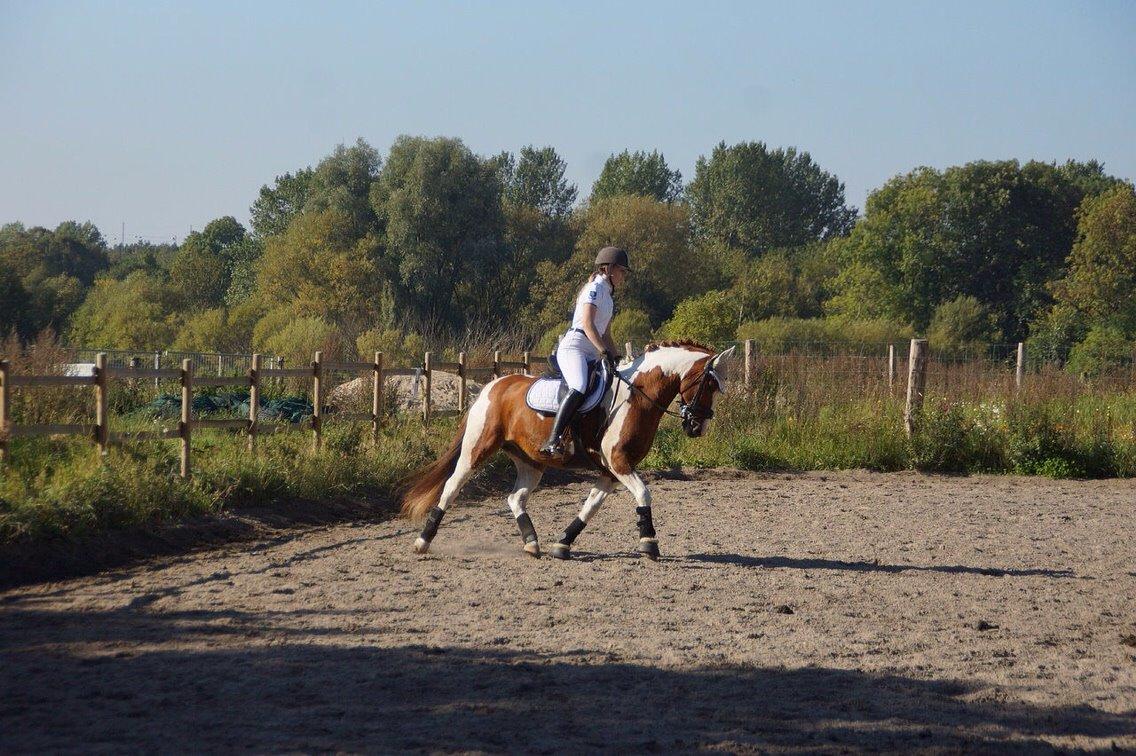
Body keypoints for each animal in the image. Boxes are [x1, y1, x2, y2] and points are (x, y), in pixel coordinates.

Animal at [399, 338, 736, 557]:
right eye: (709, 384)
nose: (697, 427)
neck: (636, 397)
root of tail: (491, 386)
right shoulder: (619, 462)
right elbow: (643, 494)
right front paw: (649, 542)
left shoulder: (611, 471)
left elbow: (591, 505)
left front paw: (563, 543)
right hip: (477, 449)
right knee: (452, 486)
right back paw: (423, 541)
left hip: (531, 461)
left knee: (515, 498)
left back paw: (532, 543)